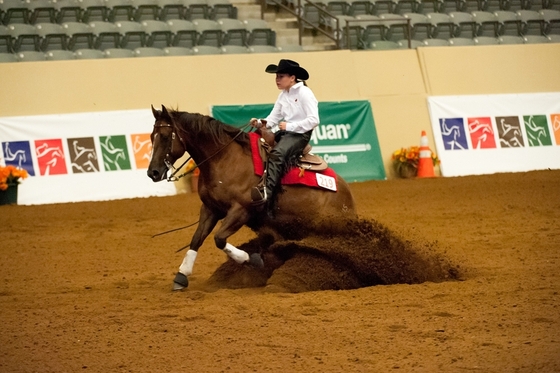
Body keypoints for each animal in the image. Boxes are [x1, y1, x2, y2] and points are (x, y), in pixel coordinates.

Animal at [144, 105, 354, 290]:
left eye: (165, 136)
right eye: (151, 137)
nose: (153, 172)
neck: (225, 158)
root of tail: (347, 195)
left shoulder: (241, 210)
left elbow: (219, 239)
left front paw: (250, 259)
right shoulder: (210, 208)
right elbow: (197, 238)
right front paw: (181, 276)